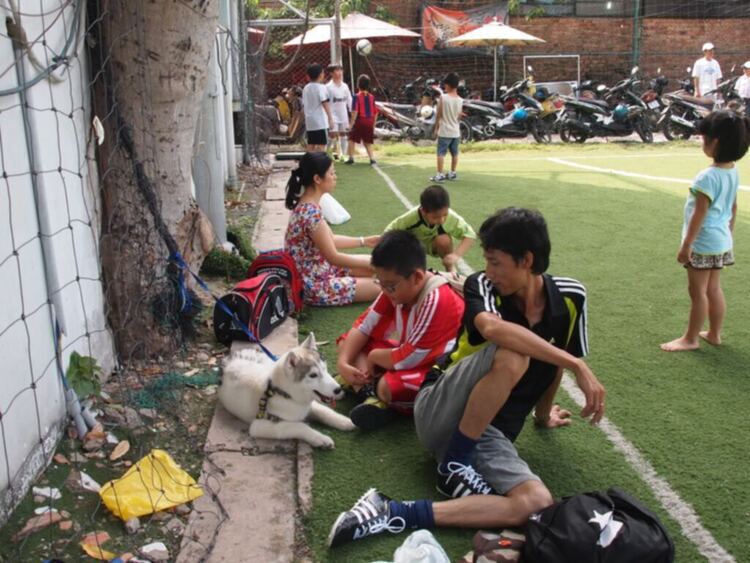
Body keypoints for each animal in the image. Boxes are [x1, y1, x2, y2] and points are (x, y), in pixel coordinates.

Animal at [219, 334, 356, 450]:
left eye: (325, 369)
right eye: (313, 375)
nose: (338, 389)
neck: (284, 394)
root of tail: (231, 357)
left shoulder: (306, 405)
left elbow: (324, 411)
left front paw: (344, 421)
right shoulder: (259, 426)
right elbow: (300, 426)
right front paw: (321, 439)